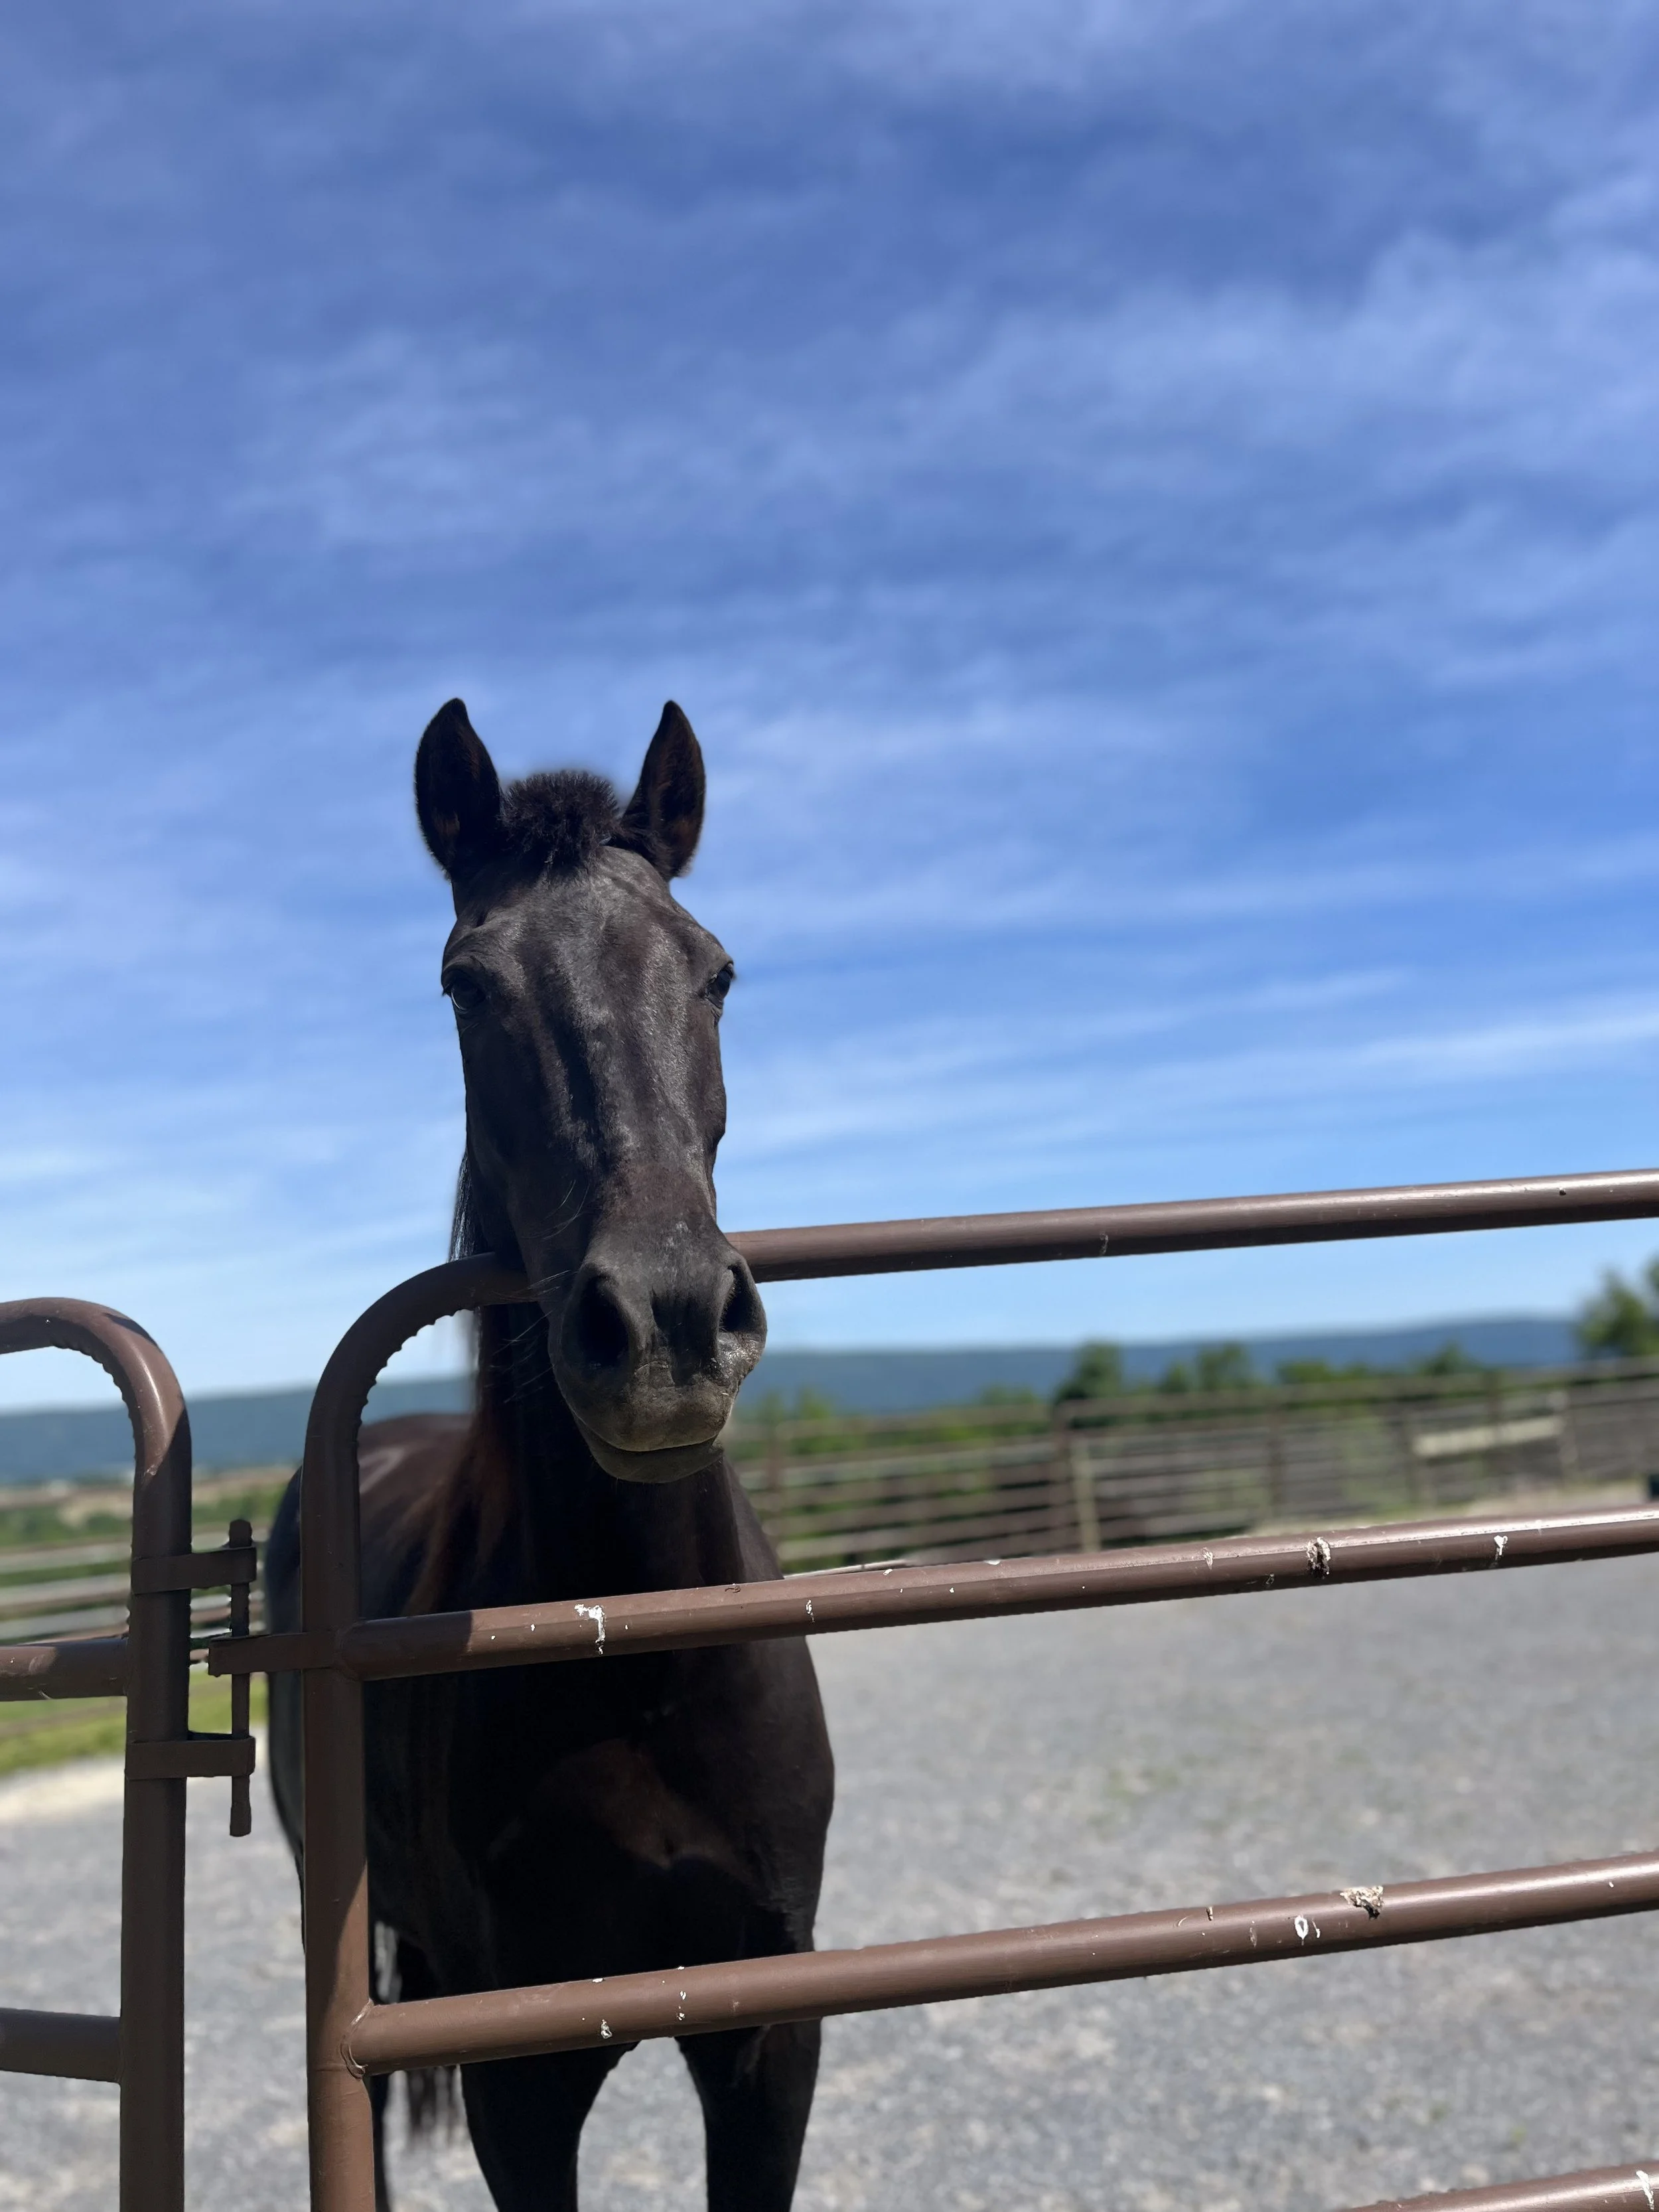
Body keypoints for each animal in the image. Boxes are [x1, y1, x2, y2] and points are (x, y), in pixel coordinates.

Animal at [265, 698, 835, 2212]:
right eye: (469, 987)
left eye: (714, 972)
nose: (666, 1320)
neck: (640, 1659)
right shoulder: (518, 2075)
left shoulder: (770, 2031)